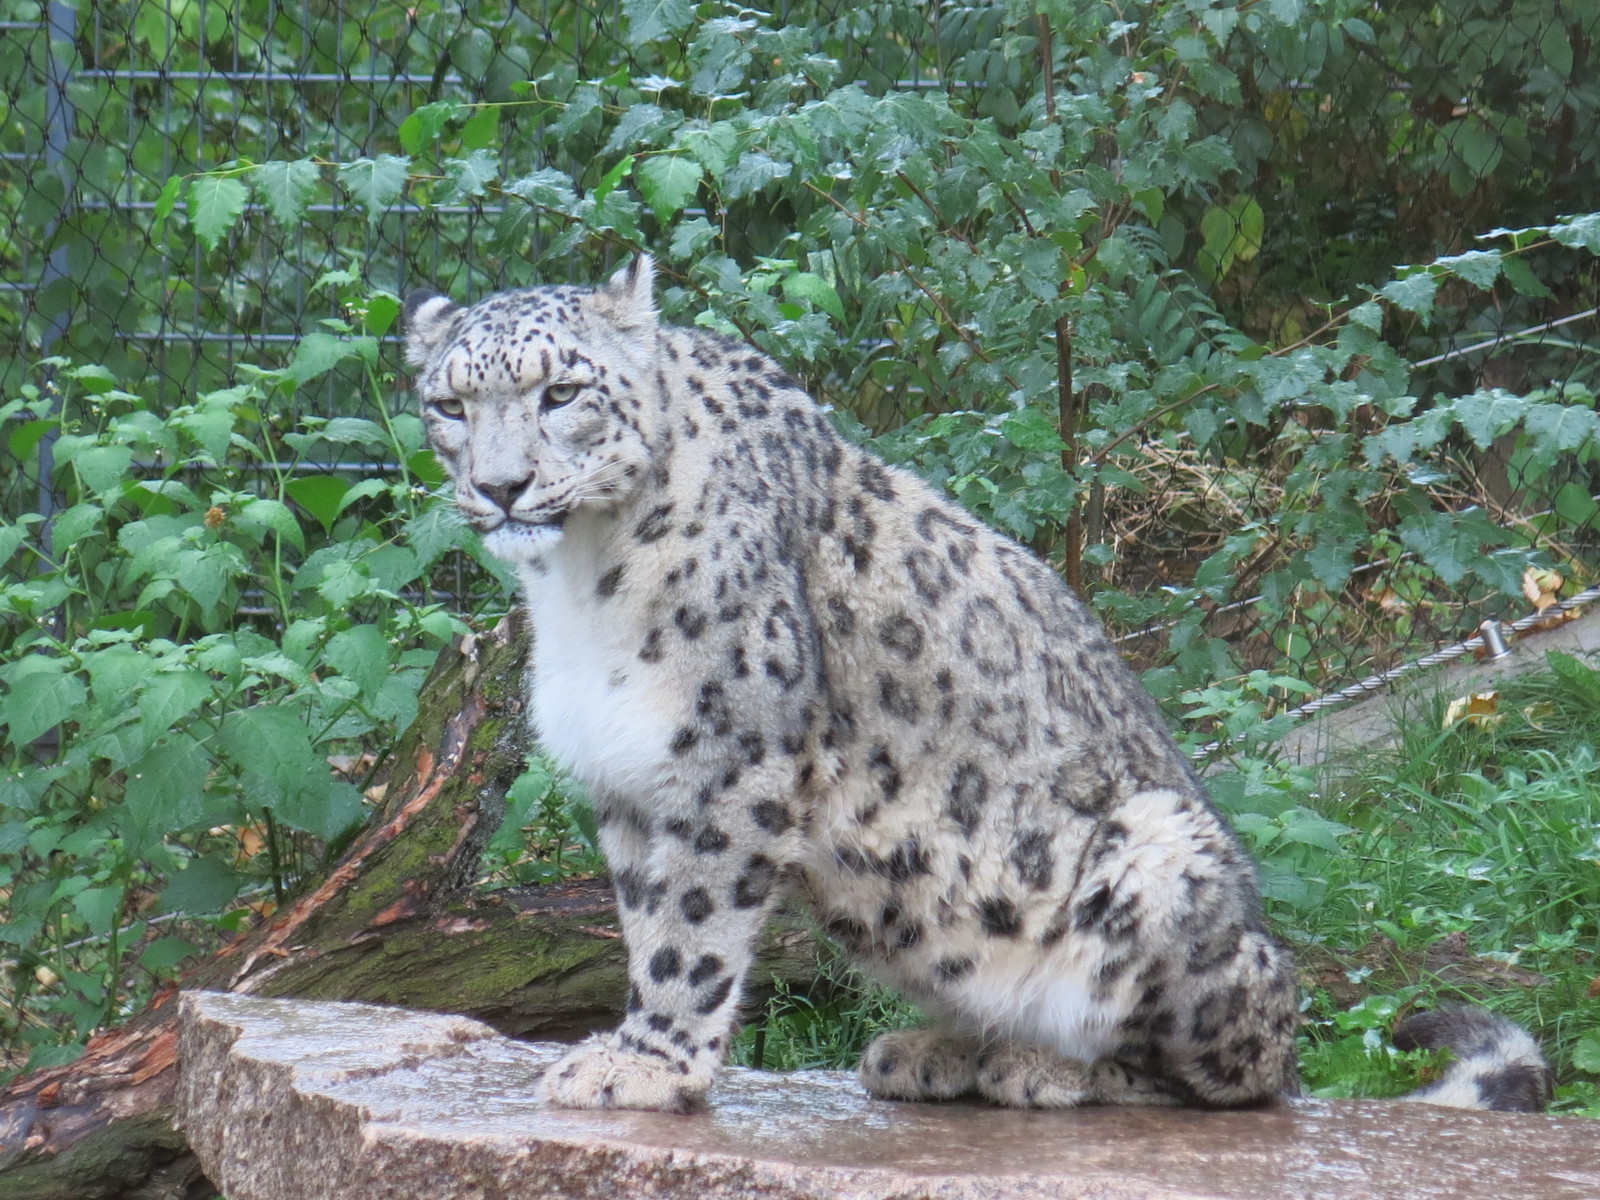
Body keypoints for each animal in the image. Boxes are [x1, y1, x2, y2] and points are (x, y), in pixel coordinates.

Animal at [403, 259, 1548, 1126]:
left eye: (561, 392)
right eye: (450, 405)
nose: (500, 487)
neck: (576, 583)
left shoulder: (731, 759)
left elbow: (692, 924)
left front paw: (642, 1064)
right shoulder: (629, 777)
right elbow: (647, 921)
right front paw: (644, 1049)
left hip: (1160, 860)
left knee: (1233, 1077)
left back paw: (1044, 1067)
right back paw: (933, 1049)